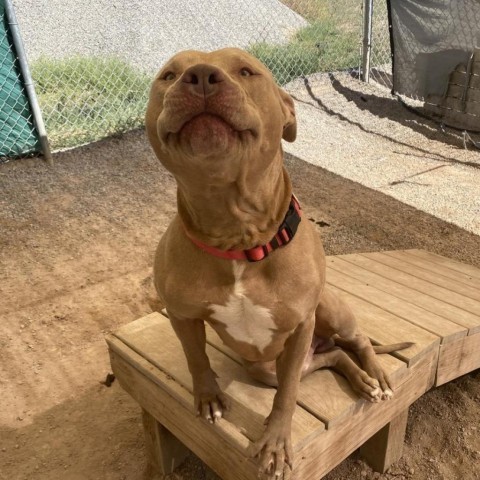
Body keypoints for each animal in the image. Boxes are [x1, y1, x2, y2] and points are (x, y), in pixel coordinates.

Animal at [145, 48, 408, 480]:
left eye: (246, 70)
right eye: (169, 74)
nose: (200, 76)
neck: (238, 237)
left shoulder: (301, 326)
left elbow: (286, 397)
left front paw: (274, 444)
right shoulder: (182, 315)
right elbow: (196, 358)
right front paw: (209, 398)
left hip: (327, 313)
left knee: (357, 342)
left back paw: (377, 375)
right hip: (266, 367)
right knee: (333, 358)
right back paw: (360, 379)